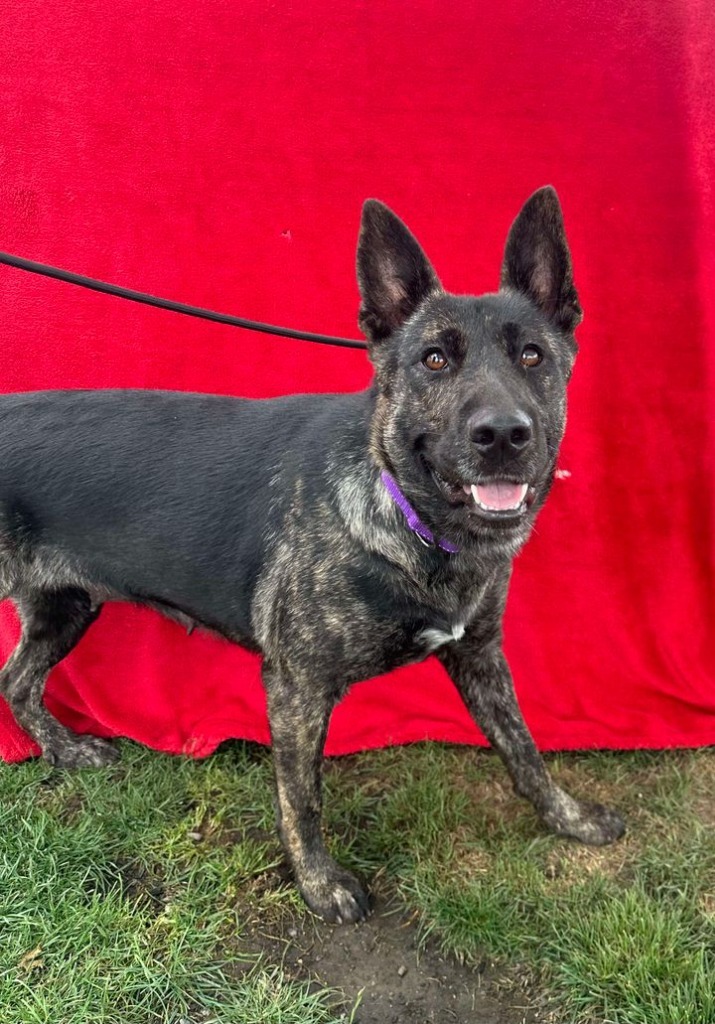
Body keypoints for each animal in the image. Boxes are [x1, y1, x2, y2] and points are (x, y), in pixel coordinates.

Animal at [0, 188, 622, 925]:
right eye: (433, 360)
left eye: (531, 356)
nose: (501, 435)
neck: (411, 522)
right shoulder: (295, 686)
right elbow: (303, 798)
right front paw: (319, 884)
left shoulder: (480, 657)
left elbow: (524, 750)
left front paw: (569, 818)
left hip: (65, 609)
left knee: (17, 681)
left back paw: (65, 749)